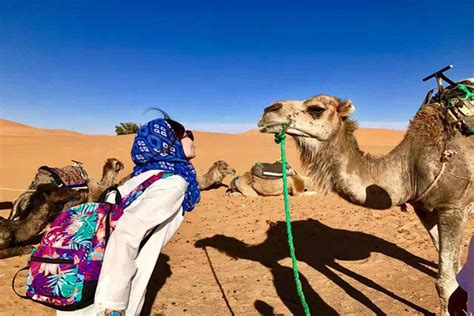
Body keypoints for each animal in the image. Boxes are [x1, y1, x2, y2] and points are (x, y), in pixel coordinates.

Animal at [260, 91, 474, 314]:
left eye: (317, 109)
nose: (269, 110)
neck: (410, 168)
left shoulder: (452, 208)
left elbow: (446, 282)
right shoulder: (424, 209)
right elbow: (454, 267)